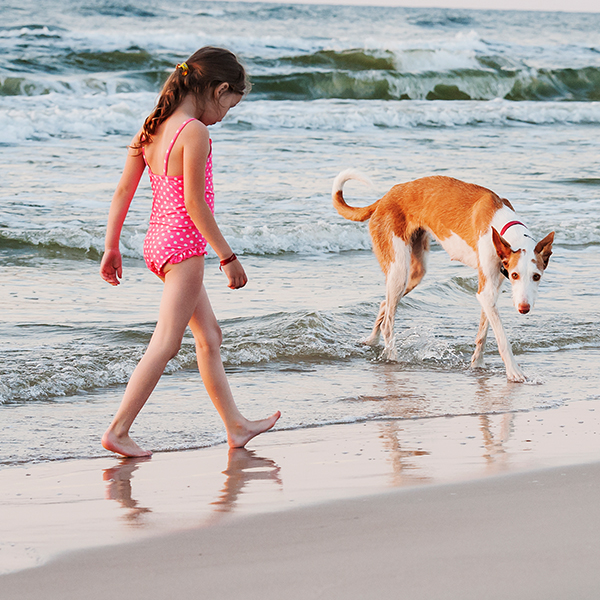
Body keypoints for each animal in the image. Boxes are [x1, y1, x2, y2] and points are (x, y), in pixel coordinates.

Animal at [332, 171, 552, 382]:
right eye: (515, 275)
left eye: (536, 277)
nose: (524, 309)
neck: (503, 227)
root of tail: (385, 198)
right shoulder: (487, 290)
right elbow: (502, 337)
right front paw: (514, 371)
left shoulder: (491, 290)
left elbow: (483, 333)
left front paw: (477, 365)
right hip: (398, 270)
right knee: (388, 323)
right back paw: (393, 358)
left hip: (414, 273)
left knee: (384, 304)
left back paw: (372, 340)